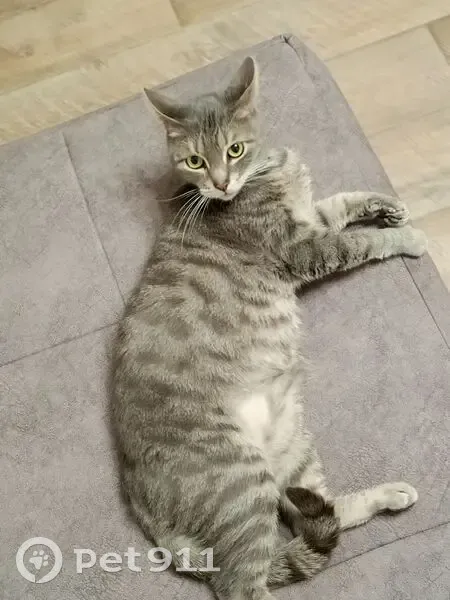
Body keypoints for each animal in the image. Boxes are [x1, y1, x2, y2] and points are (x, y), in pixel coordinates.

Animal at [112, 56, 426, 600]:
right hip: (240, 483)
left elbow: (342, 203)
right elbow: (361, 242)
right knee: (244, 581)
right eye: (194, 161)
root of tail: (144, 507)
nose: (220, 183)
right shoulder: (302, 248)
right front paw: (406, 235)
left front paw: (386, 205)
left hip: (290, 447)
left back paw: (388, 494)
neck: (267, 171)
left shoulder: (313, 218)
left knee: (314, 516)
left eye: (233, 150)